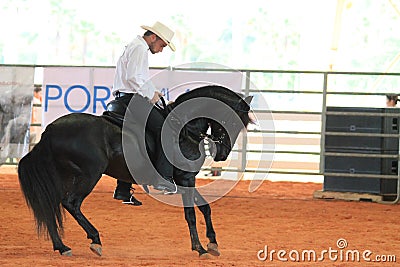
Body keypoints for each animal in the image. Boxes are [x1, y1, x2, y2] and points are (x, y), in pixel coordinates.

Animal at [18, 85, 253, 258]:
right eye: (232, 121)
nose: (222, 154)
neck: (186, 130)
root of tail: (50, 130)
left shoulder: (186, 180)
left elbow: (205, 207)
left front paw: (212, 243)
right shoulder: (186, 180)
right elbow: (191, 215)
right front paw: (200, 248)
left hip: (64, 176)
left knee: (51, 206)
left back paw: (62, 246)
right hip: (88, 175)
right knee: (71, 204)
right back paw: (95, 239)